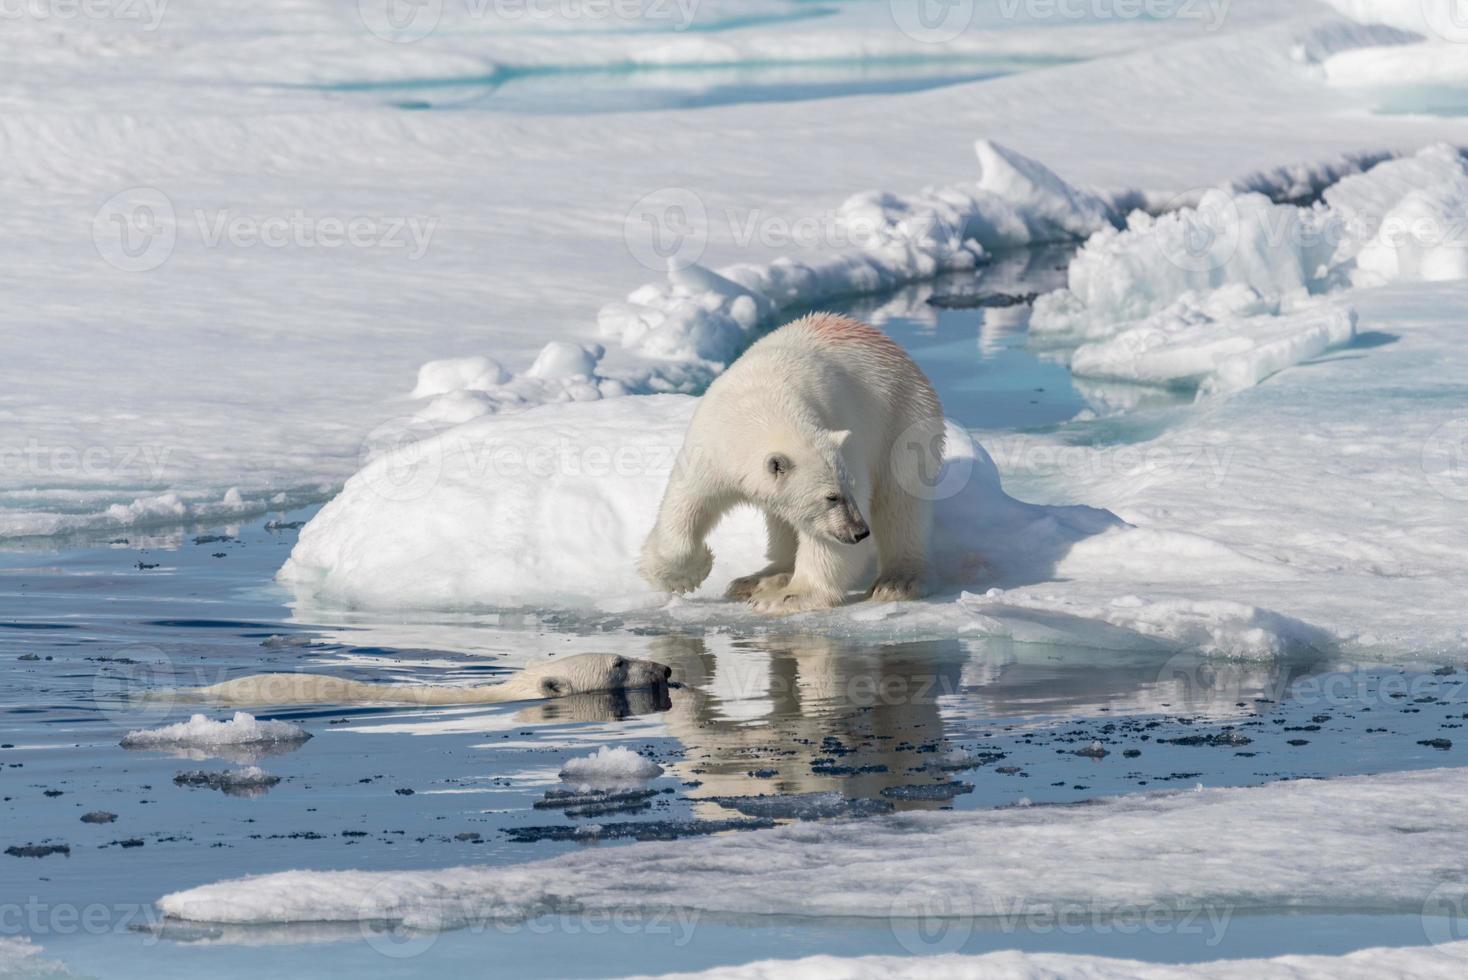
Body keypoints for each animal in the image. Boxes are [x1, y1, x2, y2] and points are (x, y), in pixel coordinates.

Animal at [640, 312, 939, 613]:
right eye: (831, 497)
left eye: (848, 488)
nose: (858, 532)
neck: (762, 408)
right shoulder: (712, 445)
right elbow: (689, 499)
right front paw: (682, 575)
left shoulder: (846, 438)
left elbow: (825, 541)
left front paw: (784, 597)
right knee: (781, 521)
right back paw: (757, 579)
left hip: (902, 421)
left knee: (899, 503)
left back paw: (896, 582)